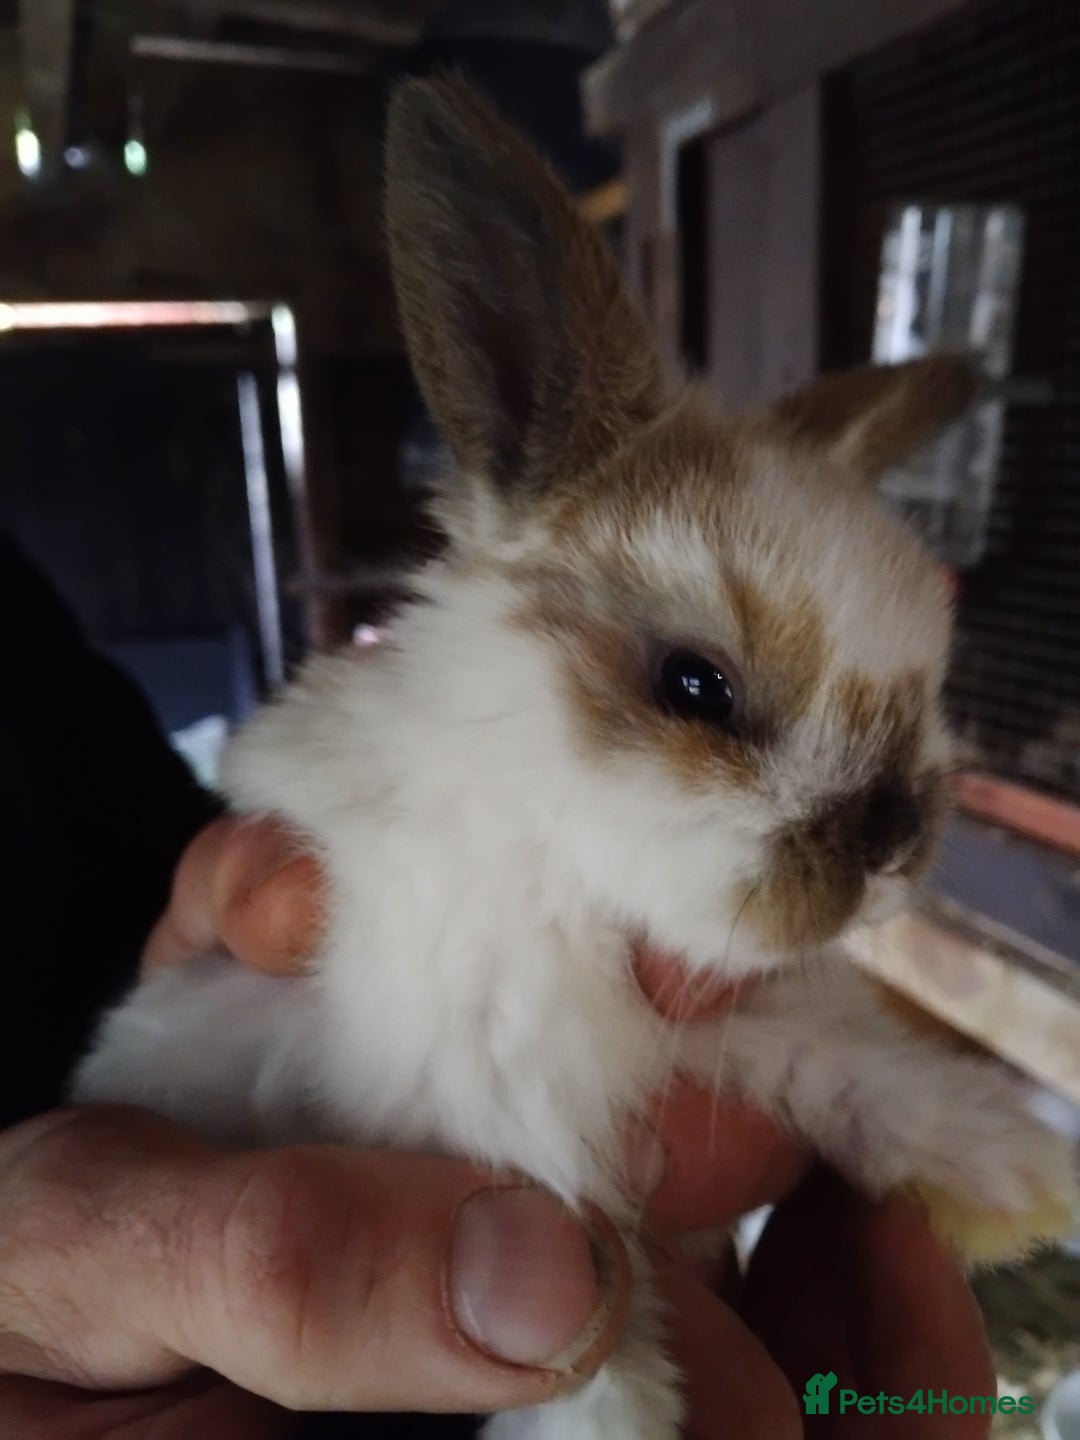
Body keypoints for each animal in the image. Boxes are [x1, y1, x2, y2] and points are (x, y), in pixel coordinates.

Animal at [73, 78, 1078, 1440]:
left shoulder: (710, 1023)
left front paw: (1015, 1174)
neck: (560, 862)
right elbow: (576, 1271)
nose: (884, 853)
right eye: (695, 686)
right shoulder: (491, 1090)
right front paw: (610, 1414)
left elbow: (844, 1066)